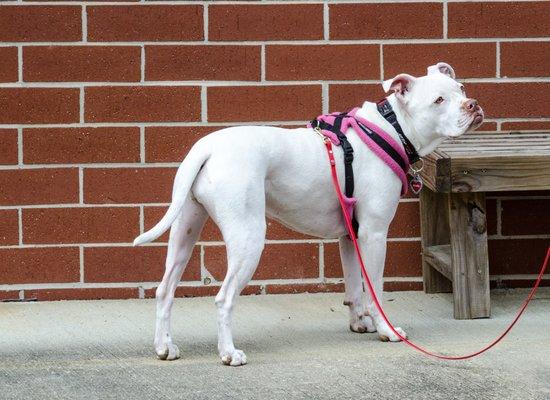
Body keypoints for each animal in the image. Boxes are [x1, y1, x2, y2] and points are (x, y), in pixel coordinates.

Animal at [135, 62, 488, 366]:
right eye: (438, 100)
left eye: (461, 88)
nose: (472, 105)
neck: (392, 127)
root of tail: (206, 148)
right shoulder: (374, 234)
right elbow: (374, 289)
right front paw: (387, 331)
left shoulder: (350, 236)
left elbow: (354, 286)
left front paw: (360, 324)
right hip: (248, 238)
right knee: (224, 298)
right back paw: (229, 353)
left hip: (185, 230)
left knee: (165, 290)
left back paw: (164, 347)